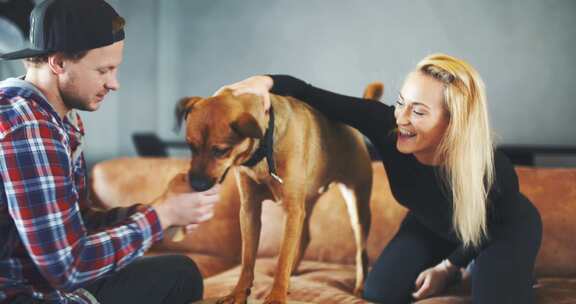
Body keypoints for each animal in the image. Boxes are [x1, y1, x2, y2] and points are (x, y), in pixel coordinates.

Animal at [174, 82, 382, 302]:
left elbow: (283, 257)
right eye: (190, 146)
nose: (195, 184)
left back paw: (359, 285)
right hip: (305, 203)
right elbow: (247, 259)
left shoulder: (291, 210)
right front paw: (239, 292)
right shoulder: (250, 210)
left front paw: (276, 295)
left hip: (357, 208)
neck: (262, 151)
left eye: (220, 151)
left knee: (360, 251)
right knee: (304, 237)